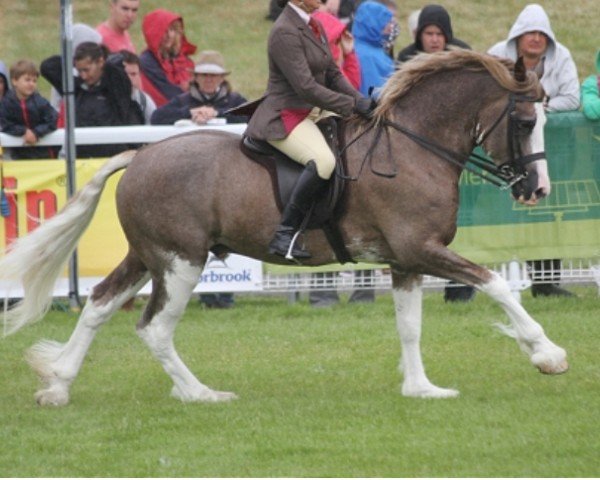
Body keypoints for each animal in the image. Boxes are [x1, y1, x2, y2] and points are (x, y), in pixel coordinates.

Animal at [0, 51, 568, 404]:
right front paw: (546, 353)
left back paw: (59, 386)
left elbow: (409, 326)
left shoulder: (404, 259)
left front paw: (421, 389)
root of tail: (140, 155)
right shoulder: (421, 249)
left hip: (148, 257)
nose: (537, 190)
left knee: (98, 306)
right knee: (155, 327)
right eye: (524, 122)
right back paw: (201, 394)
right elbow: (495, 284)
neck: (411, 147)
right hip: (181, 262)